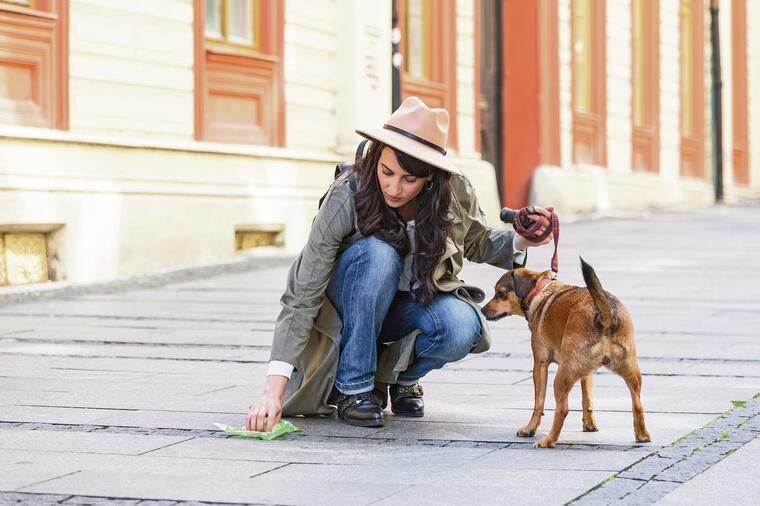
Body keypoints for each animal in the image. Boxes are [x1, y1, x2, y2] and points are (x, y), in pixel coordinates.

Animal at [484, 258, 652, 448]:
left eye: (500, 293)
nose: (482, 310)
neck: (539, 290)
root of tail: (605, 316)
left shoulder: (540, 363)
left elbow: (538, 403)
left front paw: (530, 429)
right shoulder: (586, 372)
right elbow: (587, 399)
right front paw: (589, 425)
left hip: (562, 374)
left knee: (562, 409)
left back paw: (549, 440)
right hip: (630, 370)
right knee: (637, 404)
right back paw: (642, 435)